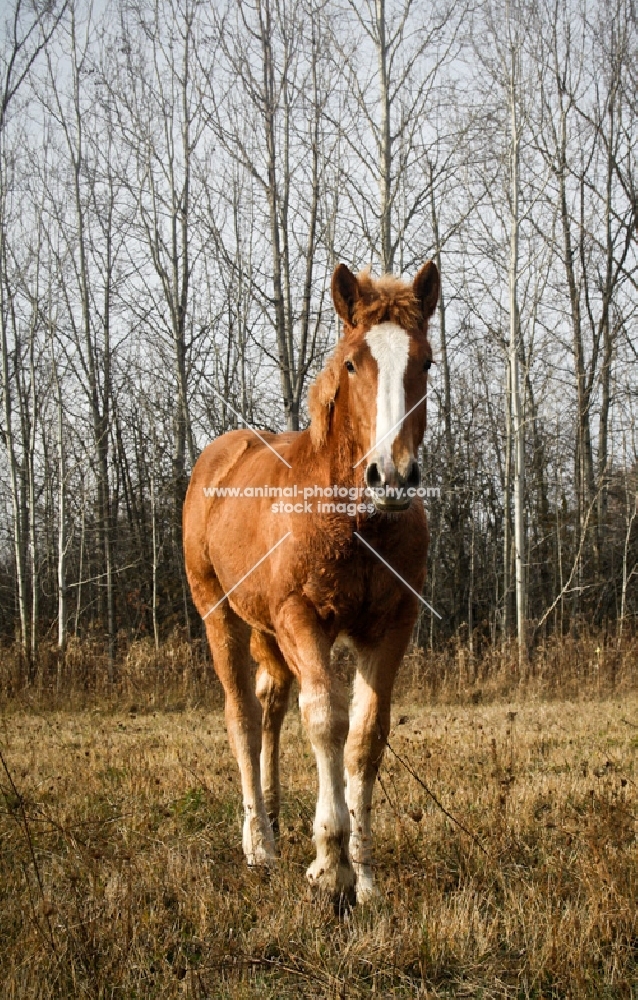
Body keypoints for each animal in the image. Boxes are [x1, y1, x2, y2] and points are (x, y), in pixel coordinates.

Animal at [184, 260, 440, 908]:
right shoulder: (304, 619)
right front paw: (330, 866)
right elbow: (326, 721)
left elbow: (366, 737)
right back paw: (259, 844)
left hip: (267, 633)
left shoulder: (391, 628)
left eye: (425, 362)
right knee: (244, 717)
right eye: (351, 363)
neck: (354, 521)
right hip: (220, 614)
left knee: (272, 706)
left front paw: (366, 875)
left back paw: (274, 822)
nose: (391, 475)